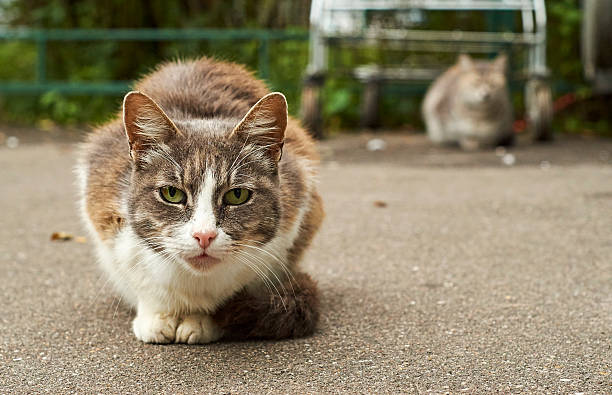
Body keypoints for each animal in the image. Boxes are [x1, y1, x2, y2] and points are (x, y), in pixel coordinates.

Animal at [77, 57, 326, 344]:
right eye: (172, 194)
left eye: (237, 195)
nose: (204, 236)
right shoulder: (105, 211)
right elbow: (142, 278)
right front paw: (156, 317)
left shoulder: (295, 208)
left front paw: (203, 320)